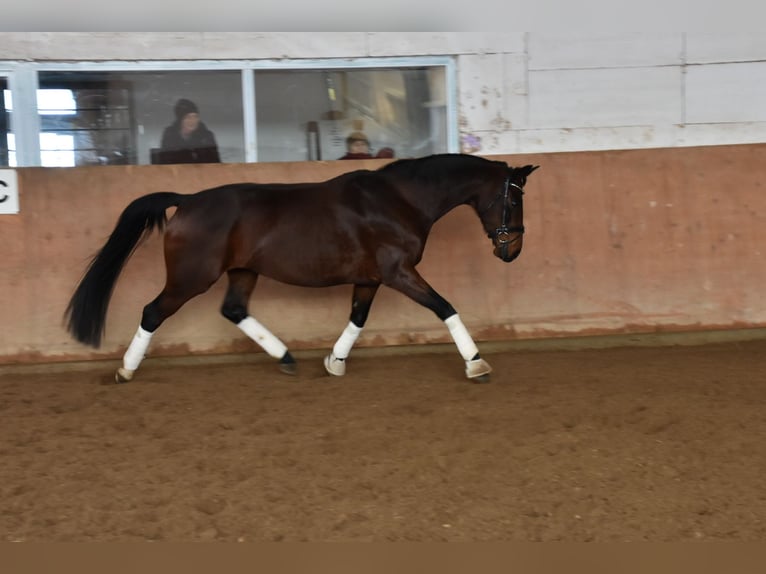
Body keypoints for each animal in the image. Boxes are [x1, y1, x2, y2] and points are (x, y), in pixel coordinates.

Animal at [64, 155, 540, 384]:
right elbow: (446, 307)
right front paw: (476, 364)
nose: (513, 250)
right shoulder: (398, 272)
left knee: (234, 310)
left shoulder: (369, 279)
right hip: (190, 278)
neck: (398, 200)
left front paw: (334, 362)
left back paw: (286, 357)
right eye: (514, 198)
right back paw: (125, 370)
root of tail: (189, 200)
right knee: (152, 312)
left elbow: (358, 319)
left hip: (243, 272)